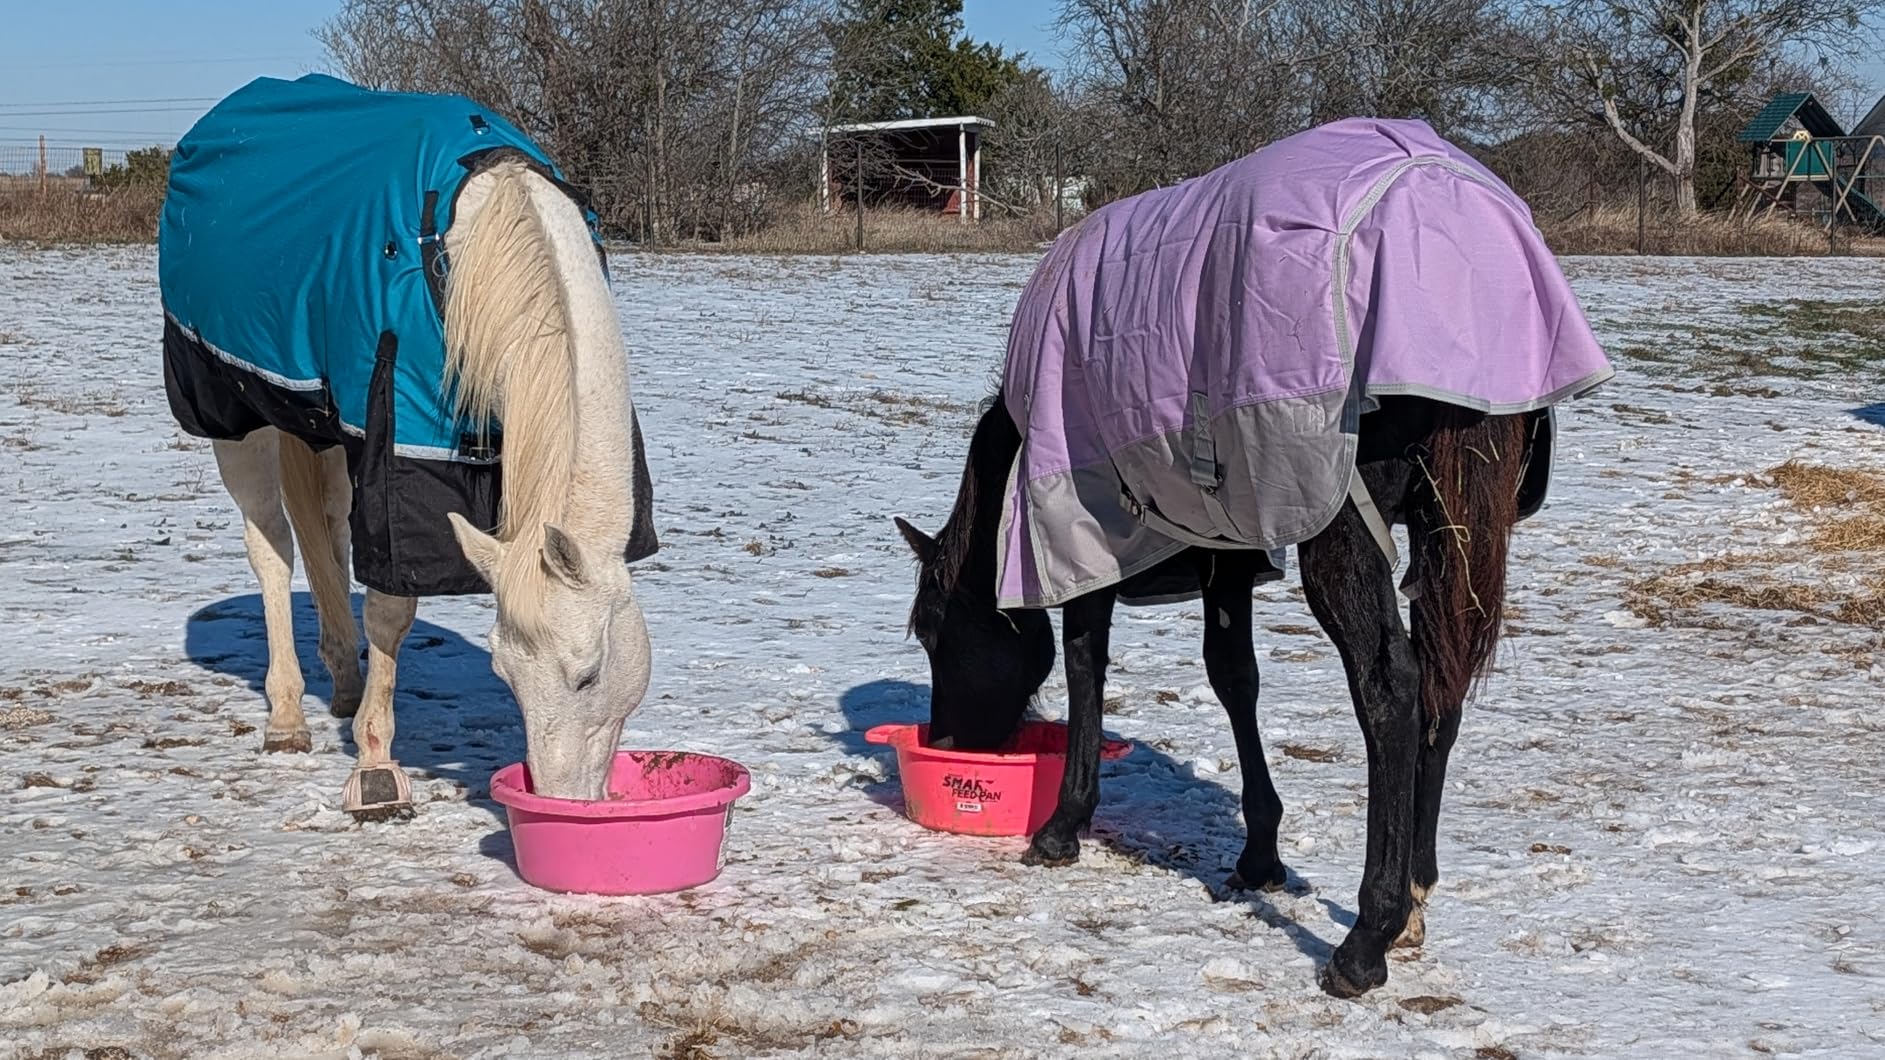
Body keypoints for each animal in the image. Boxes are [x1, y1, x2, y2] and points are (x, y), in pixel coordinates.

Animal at [160, 76, 657, 817]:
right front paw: (374, 769)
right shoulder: (399, 450)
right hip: (236, 413)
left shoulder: (376, 442)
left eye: (589, 675)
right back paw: (287, 717)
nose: (562, 802)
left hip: (327, 428)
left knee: (328, 534)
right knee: (272, 549)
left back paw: (341, 680)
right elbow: (392, 607)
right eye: (504, 672)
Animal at [892, 118, 1610, 997]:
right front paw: (1259, 851)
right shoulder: (1226, 548)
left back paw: (1365, 938)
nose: (950, 742)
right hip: (1445, 537)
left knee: (1391, 688)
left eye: (937, 633)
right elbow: (1233, 678)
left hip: (1341, 527)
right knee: (1441, 682)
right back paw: (1413, 897)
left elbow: (1087, 660)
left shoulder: (1083, 525)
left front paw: (1063, 824)